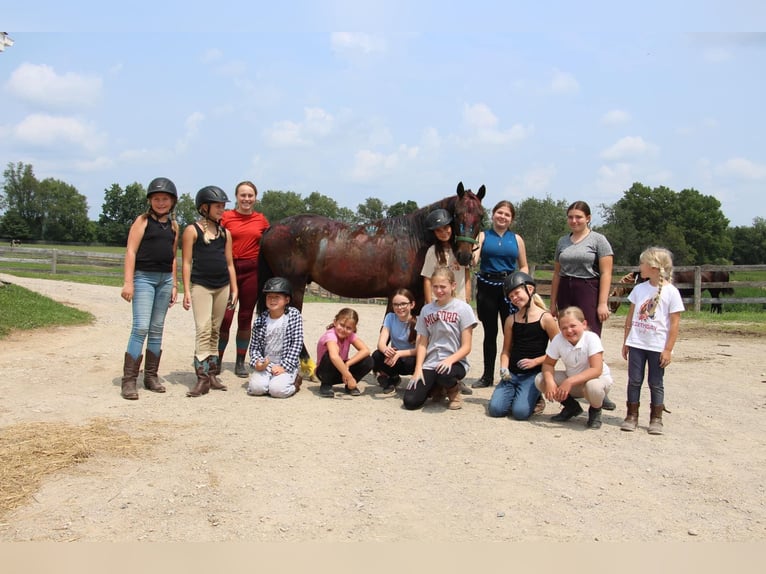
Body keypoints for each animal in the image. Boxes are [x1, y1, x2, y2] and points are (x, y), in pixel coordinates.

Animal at [256, 182, 486, 374]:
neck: (413, 239)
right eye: (457, 213)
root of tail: (272, 228)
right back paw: (309, 366)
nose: (465, 255)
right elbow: (387, 330)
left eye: (481, 215)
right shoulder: (396, 294)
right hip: (294, 284)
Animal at [608, 270, 736, 316]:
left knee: (717, 302)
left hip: (715, 290)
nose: (611, 311)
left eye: (612, 302)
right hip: (713, 291)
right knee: (715, 302)